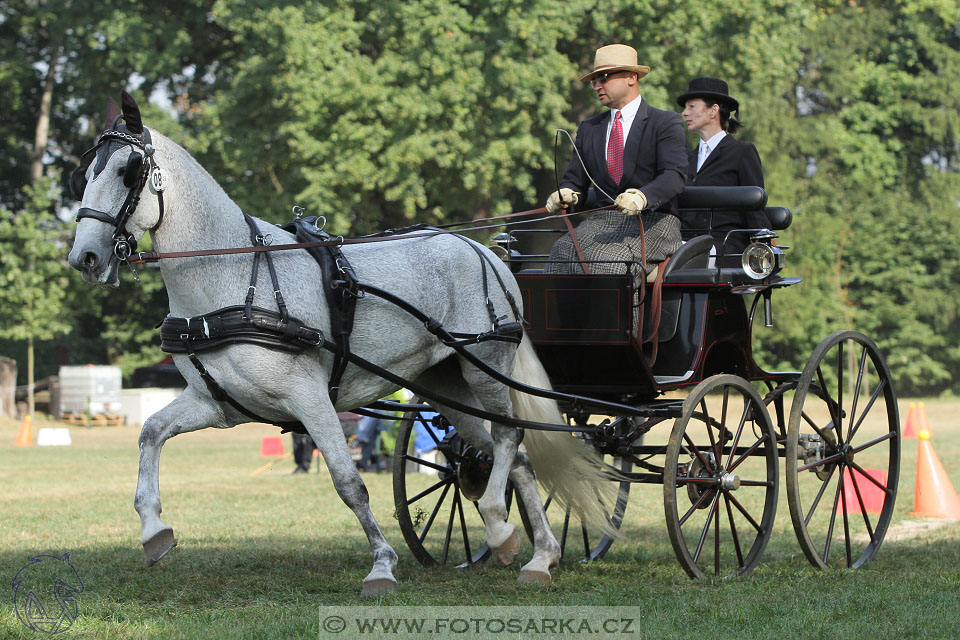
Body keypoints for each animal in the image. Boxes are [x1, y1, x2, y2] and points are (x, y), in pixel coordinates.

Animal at [67, 92, 616, 596]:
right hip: (446, 386)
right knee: (512, 456)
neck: (234, 277)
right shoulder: (216, 404)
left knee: (508, 438)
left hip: (484, 365)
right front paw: (153, 529)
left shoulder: (309, 399)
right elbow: (150, 433)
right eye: (85, 173)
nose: (84, 258)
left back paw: (501, 524)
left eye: (128, 171)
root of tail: (486, 251)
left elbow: (349, 482)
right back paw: (537, 555)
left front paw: (382, 566)